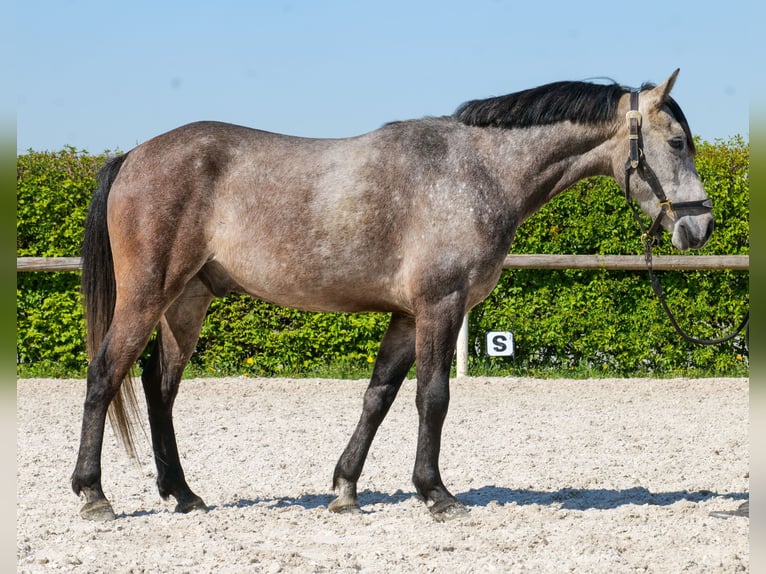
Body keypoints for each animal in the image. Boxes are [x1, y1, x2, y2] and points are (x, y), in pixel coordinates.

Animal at [72, 69, 714, 521]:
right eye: (678, 142)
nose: (699, 226)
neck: (476, 171)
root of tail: (132, 157)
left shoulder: (407, 316)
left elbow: (377, 398)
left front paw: (345, 489)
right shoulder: (440, 306)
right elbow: (433, 398)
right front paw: (436, 494)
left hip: (186, 303)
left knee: (159, 387)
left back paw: (183, 493)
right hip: (148, 295)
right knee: (105, 374)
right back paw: (94, 495)